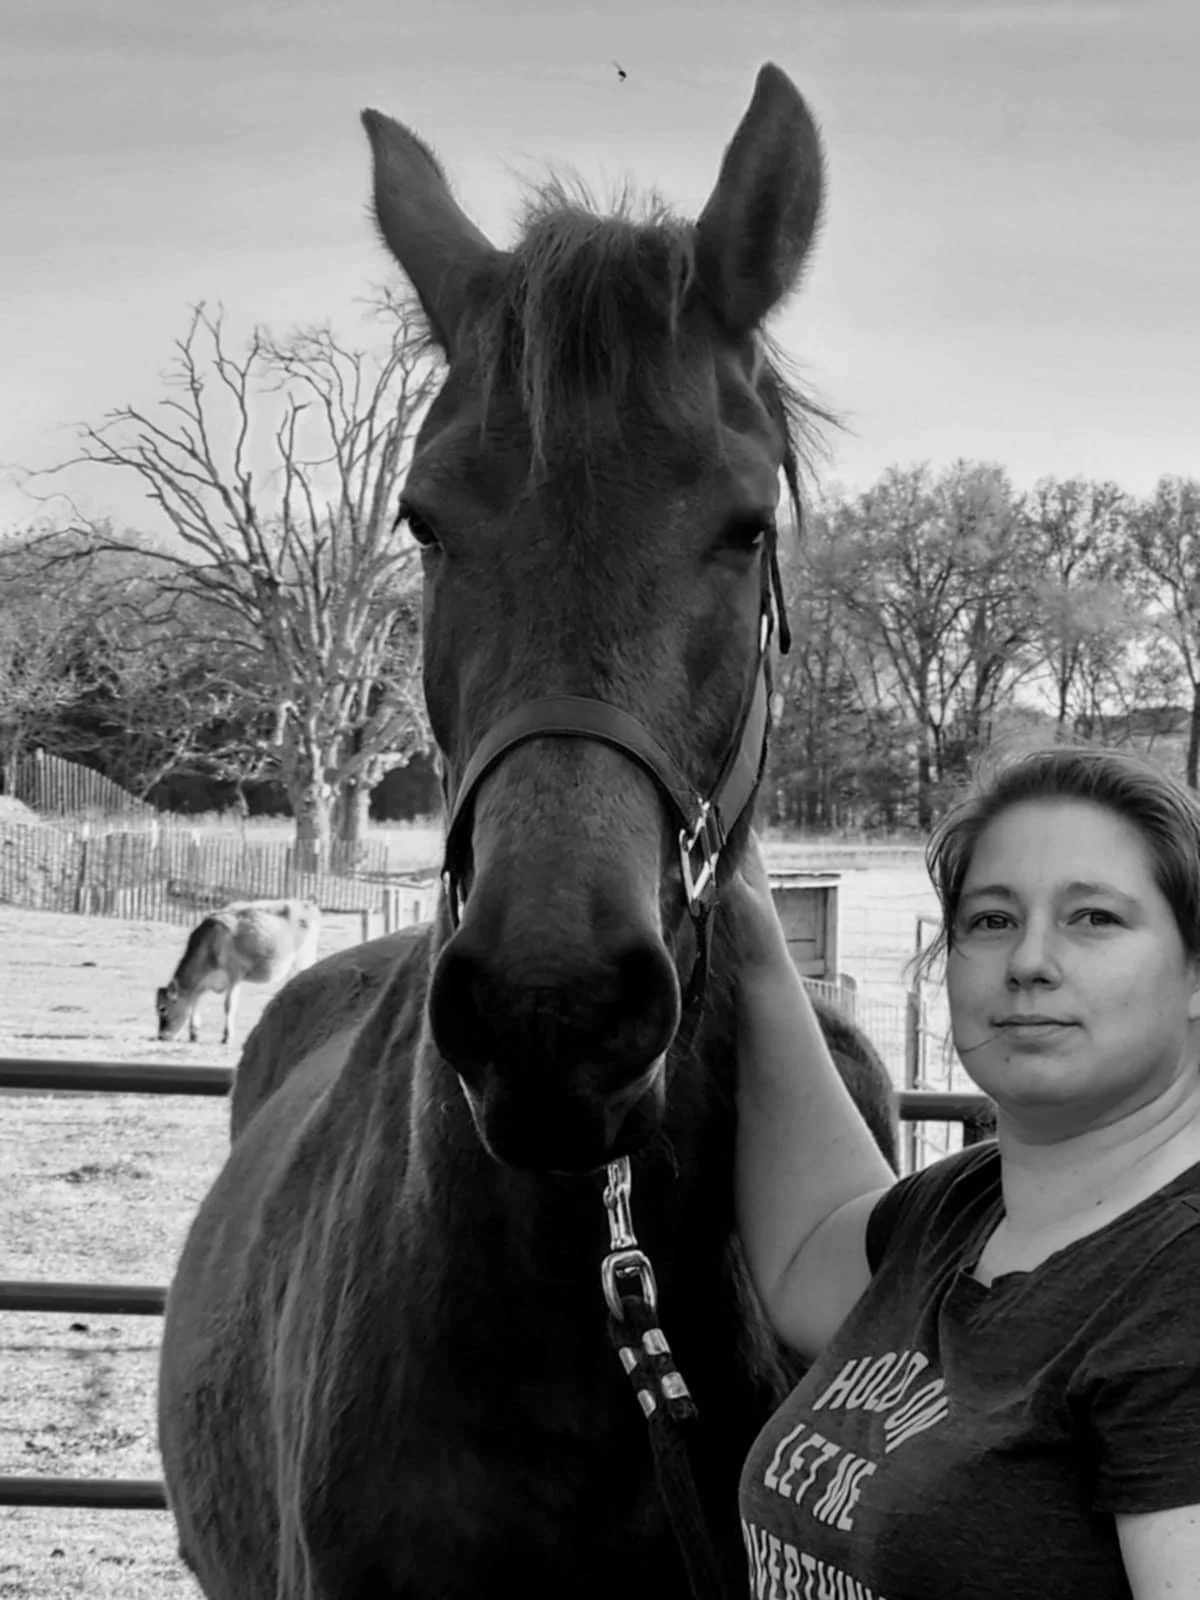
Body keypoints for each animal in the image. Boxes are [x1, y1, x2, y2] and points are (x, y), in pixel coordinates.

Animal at [155, 899, 320, 1046]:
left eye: (163, 1009)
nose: (161, 1036)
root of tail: (307, 905)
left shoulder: (234, 975)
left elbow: (229, 1005)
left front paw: (226, 1037)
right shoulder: (205, 982)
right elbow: (195, 1002)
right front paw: (194, 1034)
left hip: (304, 960)